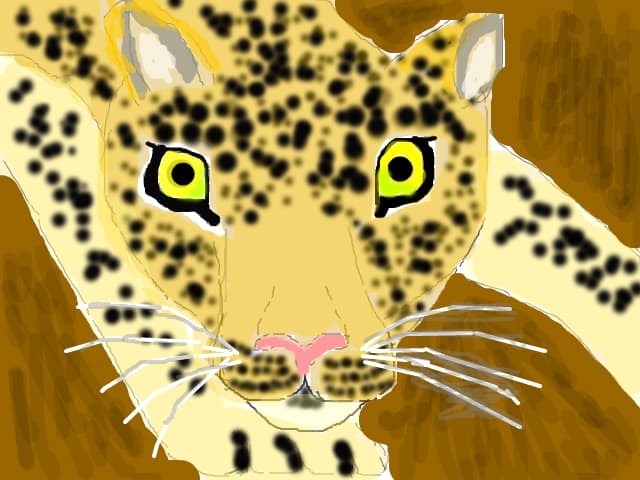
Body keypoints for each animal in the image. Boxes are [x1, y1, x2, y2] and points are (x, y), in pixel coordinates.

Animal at [1, 0, 639, 478]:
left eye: (402, 173)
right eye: (182, 178)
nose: (305, 348)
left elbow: (565, 234)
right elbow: (100, 249)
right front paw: (260, 445)